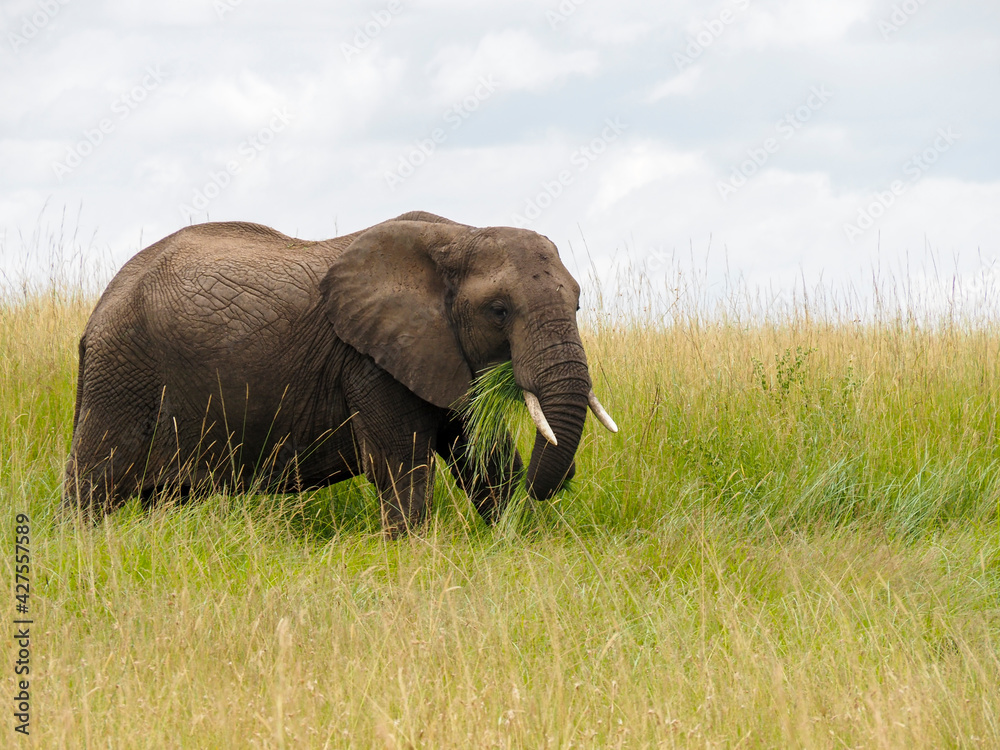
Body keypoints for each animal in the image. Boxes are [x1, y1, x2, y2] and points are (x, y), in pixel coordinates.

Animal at [64, 211, 618, 534]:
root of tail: (99, 310)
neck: (460, 235)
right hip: (123, 373)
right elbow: (399, 464)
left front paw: (513, 540)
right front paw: (410, 553)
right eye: (500, 311)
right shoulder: (370, 360)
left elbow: (483, 455)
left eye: (578, 304)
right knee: (95, 480)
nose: (567, 477)